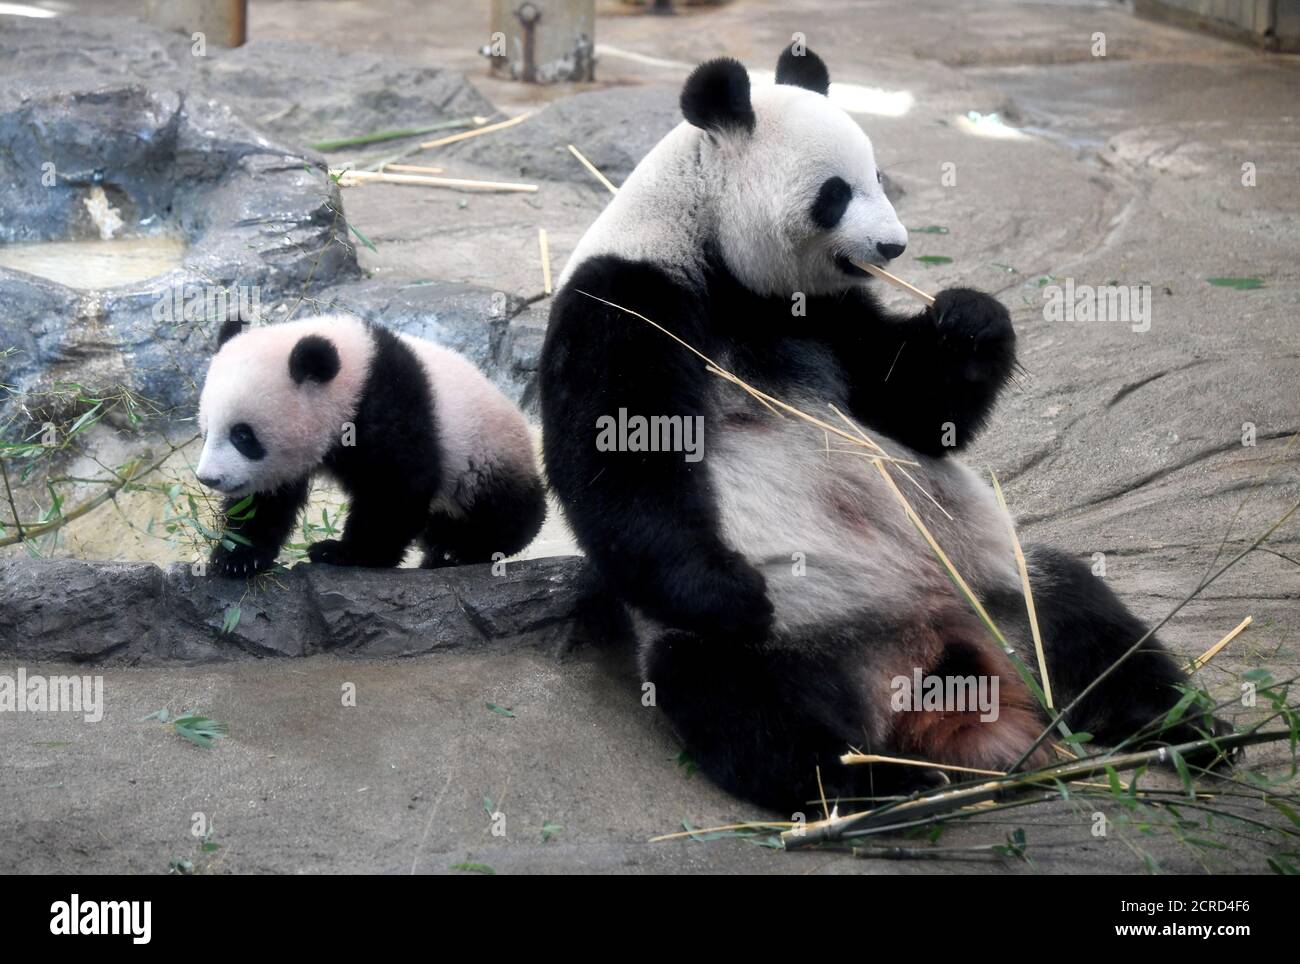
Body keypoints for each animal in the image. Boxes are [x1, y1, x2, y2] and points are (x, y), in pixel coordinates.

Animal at [195, 315, 546, 574]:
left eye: (243, 436)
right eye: (207, 430)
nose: (208, 478)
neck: (354, 375)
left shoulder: (389, 405)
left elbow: (395, 489)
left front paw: (344, 553)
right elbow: (266, 501)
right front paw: (237, 557)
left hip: (485, 453)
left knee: (505, 509)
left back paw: (463, 548)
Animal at [538, 47, 1227, 815]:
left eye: (879, 175)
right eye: (836, 192)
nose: (894, 246)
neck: (714, 250)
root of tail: (931, 653)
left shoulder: (826, 315)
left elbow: (914, 409)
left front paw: (969, 319)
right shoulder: (628, 297)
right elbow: (621, 462)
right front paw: (731, 592)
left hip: (999, 587)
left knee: (1088, 622)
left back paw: (1190, 730)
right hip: (793, 638)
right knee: (746, 706)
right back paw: (875, 782)